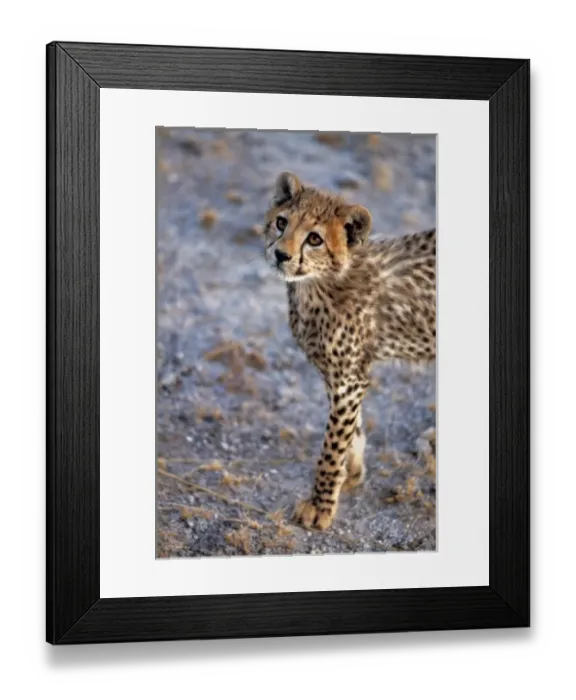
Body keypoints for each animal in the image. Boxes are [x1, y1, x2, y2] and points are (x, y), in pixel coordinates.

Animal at [262, 171, 436, 531]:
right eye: (281, 222)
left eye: (314, 239)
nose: (281, 255)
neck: (318, 285)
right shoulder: (338, 374)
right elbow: (349, 429)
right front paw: (350, 472)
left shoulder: (348, 379)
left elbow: (332, 443)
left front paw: (321, 503)